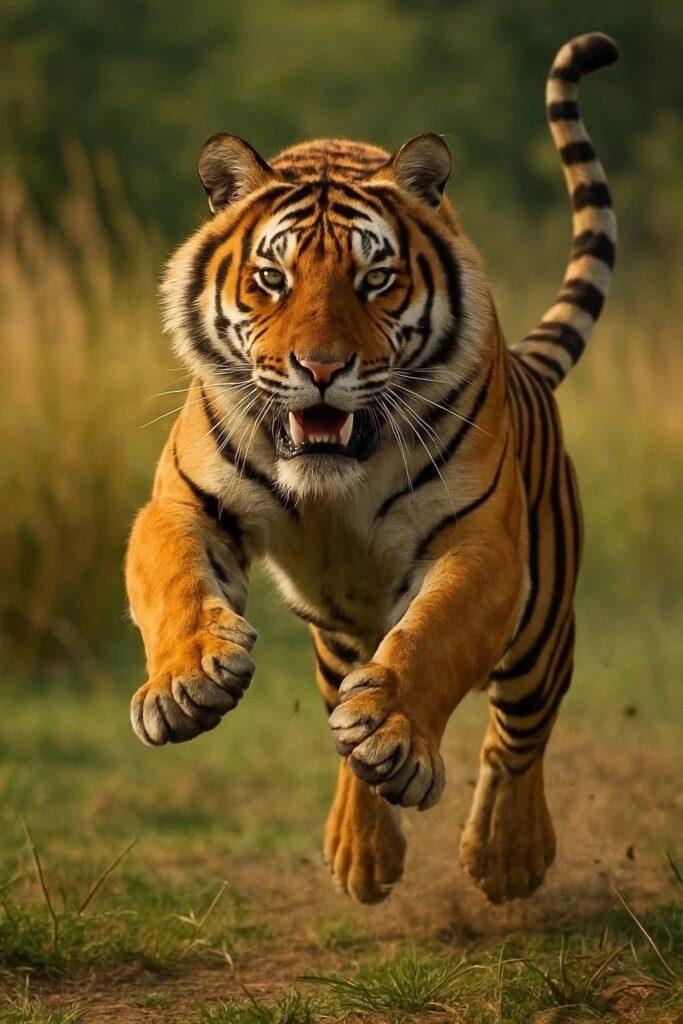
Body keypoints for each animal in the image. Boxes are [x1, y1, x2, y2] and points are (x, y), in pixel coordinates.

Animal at [126, 32, 618, 905]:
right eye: (272, 278)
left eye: (375, 279)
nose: (321, 368)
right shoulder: (182, 504)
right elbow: (174, 583)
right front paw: (184, 685)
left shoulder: (480, 545)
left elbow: (431, 638)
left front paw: (393, 736)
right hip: (336, 635)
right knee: (344, 712)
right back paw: (362, 852)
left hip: (540, 627)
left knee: (517, 736)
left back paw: (507, 857)